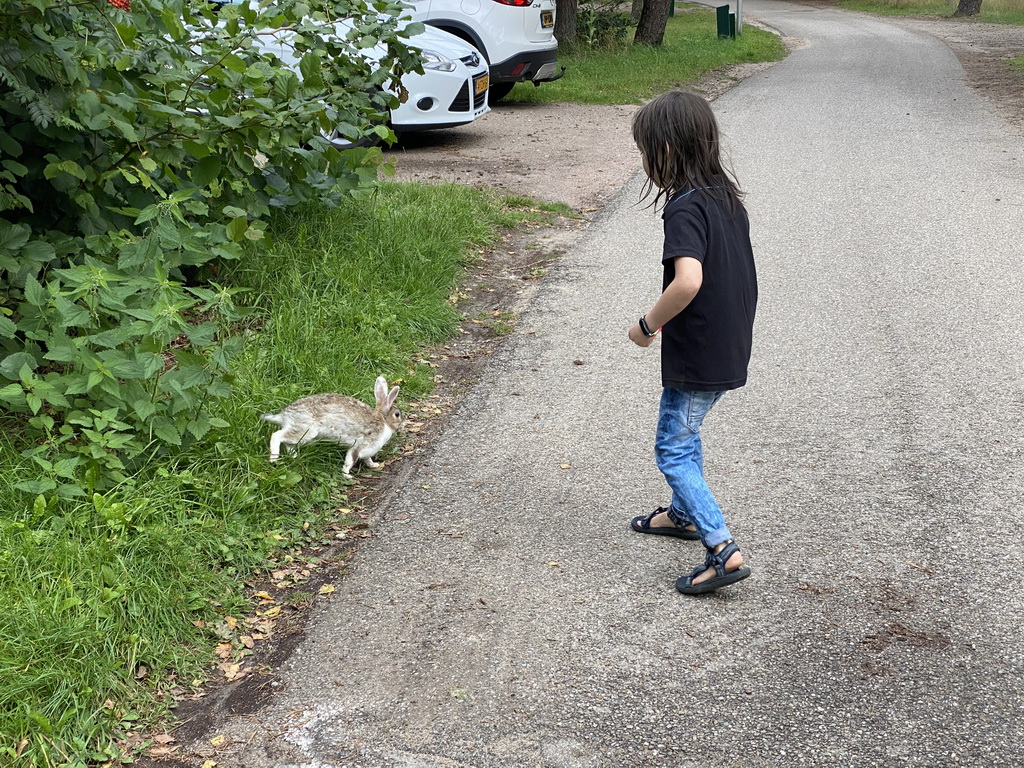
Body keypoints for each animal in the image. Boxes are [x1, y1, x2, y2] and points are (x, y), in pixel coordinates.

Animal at [260, 376, 403, 479]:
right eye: (397, 414)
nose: (401, 426)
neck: (383, 421)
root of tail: (283, 416)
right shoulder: (361, 446)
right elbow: (350, 459)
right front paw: (347, 475)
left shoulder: (367, 451)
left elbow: (367, 459)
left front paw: (374, 465)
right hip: (306, 430)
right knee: (276, 436)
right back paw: (274, 458)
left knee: (288, 443)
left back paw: (294, 457)